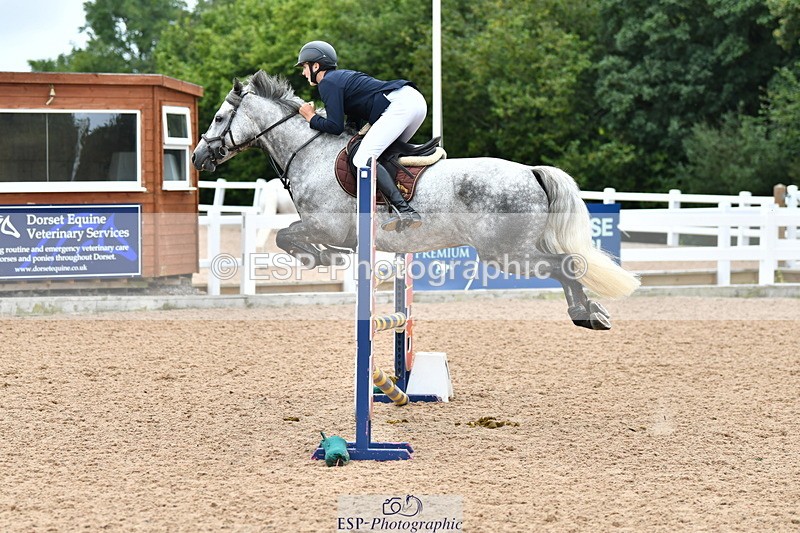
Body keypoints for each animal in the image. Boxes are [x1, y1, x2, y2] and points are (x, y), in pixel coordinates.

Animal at [192, 70, 640, 330]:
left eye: (218, 118)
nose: (197, 158)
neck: (309, 150)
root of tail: (530, 171)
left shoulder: (325, 225)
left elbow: (287, 236)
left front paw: (323, 258)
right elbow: (289, 237)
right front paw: (324, 258)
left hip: (506, 251)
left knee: (565, 265)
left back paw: (587, 315)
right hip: (517, 247)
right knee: (569, 264)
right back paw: (590, 313)